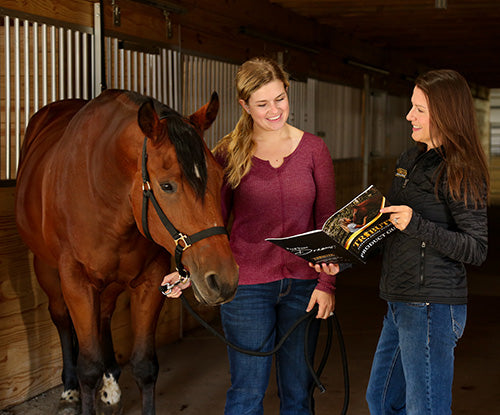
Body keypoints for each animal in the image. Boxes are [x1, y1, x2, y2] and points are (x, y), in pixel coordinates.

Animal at [15, 89, 240, 414]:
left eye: (221, 176)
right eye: (167, 186)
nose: (223, 280)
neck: (101, 189)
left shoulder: (150, 280)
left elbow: (145, 366)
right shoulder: (76, 282)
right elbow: (88, 368)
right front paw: (81, 389)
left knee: (104, 316)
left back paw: (111, 388)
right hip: (47, 271)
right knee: (60, 318)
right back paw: (69, 390)